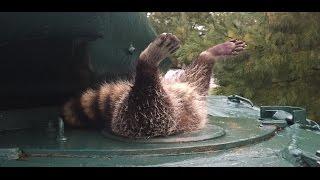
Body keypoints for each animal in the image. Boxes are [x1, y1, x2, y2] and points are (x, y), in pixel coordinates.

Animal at [62, 32, 248, 138]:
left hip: (190, 87)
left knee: (200, 69)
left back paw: (210, 53)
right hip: (146, 119)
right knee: (147, 101)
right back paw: (148, 61)